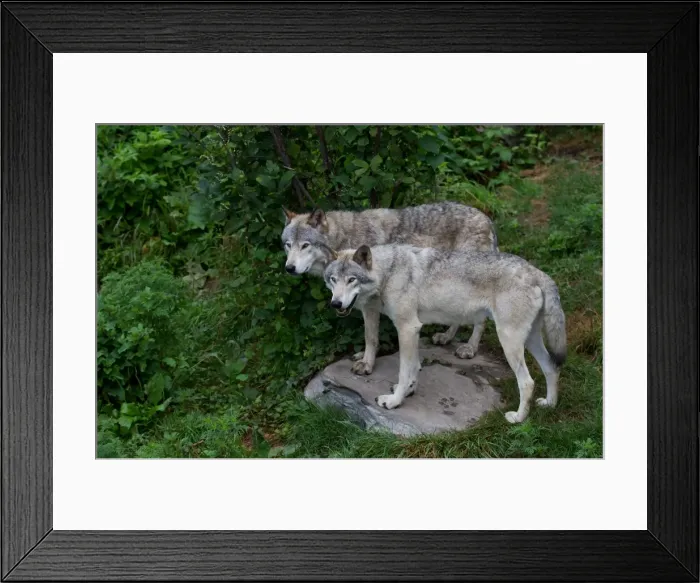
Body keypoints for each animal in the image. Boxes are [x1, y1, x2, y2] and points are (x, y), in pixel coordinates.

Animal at [281, 202, 498, 373]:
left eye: (305, 245)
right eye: (288, 245)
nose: (289, 268)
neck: (344, 239)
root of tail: (487, 219)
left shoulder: (369, 305)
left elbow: (370, 336)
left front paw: (367, 364)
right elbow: (371, 336)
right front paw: (363, 357)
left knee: (481, 320)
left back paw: (470, 348)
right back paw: (446, 337)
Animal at [323, 244, 566, 424]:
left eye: (352, 279)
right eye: (333, 280)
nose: (336, 304)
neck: (389, 272)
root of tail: (536, 272)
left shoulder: (407, 328)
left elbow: (404, 371)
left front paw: (394, 401)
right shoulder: (413, 330)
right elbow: (414, 367)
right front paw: (409, 391)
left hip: (509, 341)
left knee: (527, 382)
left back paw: (518, 418)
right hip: (531, 340)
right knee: (552, 368)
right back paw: (550, 404)